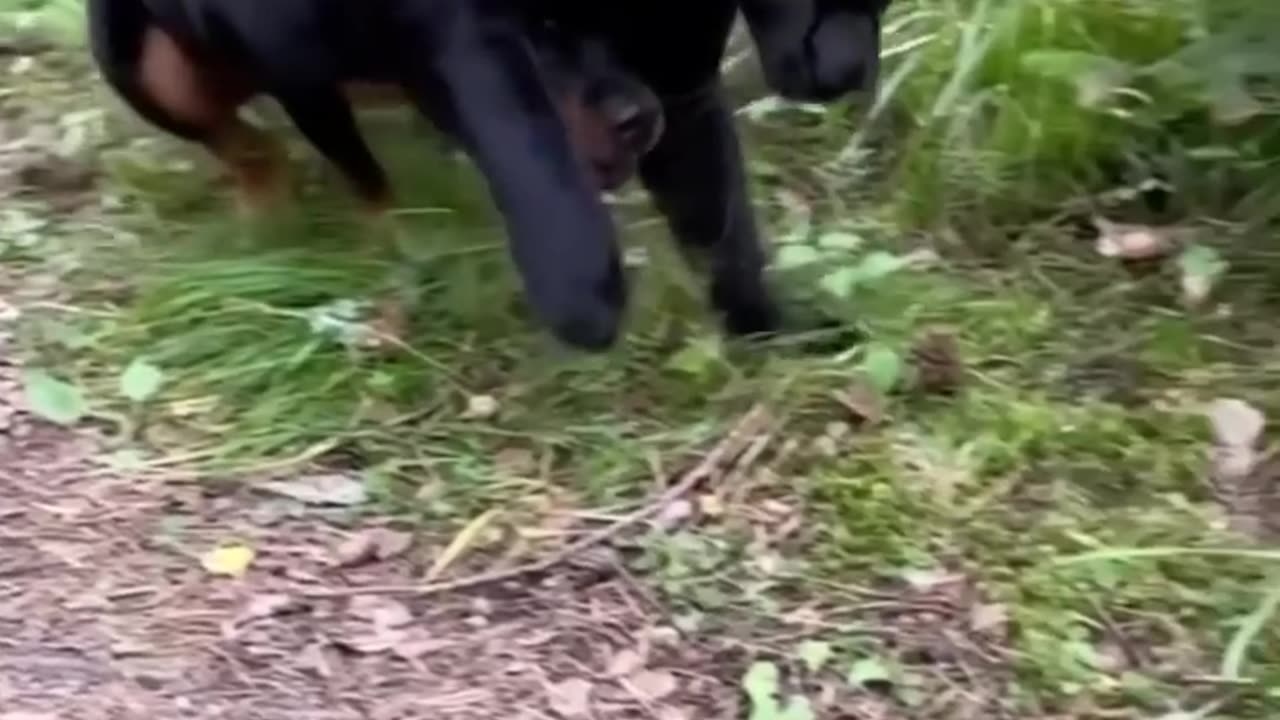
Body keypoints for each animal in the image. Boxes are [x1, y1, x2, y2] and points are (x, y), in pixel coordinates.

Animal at [85, 0, 665, 348]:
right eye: (541, 33)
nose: (640, 116)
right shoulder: (302, 78)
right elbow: (367, 179)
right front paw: (395, 252)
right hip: (144, 66)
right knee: (247, 145)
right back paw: (266, 215)